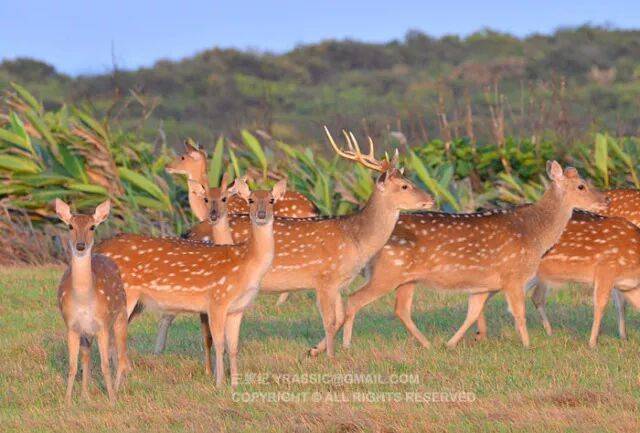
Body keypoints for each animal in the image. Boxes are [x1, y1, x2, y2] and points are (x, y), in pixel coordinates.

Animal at [55, 198, 130, 404]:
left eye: (92, 227)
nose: (80, 245)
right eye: (70, 226)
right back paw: (85, 395)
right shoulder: (72, 326)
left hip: (121, 315)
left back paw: (117, 391)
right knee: (87, 358)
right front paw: (67, 401)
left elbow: (105, 365)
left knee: (121, 357)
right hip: (87, 333)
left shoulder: (102, 325)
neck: (84, 300)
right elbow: (73, 366)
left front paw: (112, 400)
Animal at [96, 179, 286, 386]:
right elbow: (219, 343)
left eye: (272, 200)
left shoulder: (237, 308)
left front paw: (235, 384)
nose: (261, 215)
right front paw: (219, 383)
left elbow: (234, 346)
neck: (246, 265)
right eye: (250, 200)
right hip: (125, 295)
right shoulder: (217, 300)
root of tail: (98, 248)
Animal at [337, 162, 608, 349]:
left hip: (407, 278)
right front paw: (528, 345)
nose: (604, 200)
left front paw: (450, 343)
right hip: (387, 272)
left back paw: (427, 344)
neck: (534, 234)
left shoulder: (483, 285)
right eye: (581, 185)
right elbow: (519, 313)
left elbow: (473, 313)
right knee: (355, 299)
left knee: (401, 309)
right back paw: (345, 344)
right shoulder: (512, 274)